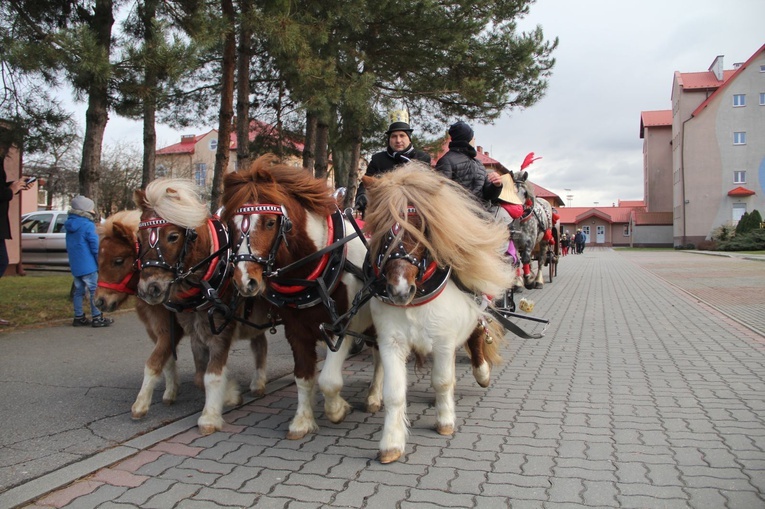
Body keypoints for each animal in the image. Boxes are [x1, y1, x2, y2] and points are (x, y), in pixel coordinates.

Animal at [134, 178, 272, 432]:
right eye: (139, 237)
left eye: (172, 236)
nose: (150, 288)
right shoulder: (195, 332)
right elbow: (200, 376)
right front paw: (229, 395)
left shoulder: (221, 331)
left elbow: (212, 375)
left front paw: (211, 415)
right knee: (260, 345)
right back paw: (258, 383)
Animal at [219, 155, 380, 440]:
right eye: (232, 226)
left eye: (270, 222)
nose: (245, 281)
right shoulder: (296, 330)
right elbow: (303, 377)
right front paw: (302, 422)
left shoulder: (341, 327)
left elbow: (328, 380)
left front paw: (338, 410)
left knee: (382, 358)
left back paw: (374, 396)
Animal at [362, 164, 516, 464]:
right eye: (380, 229)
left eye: (420, 226)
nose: (399, 290)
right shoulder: (391, 342)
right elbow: (394, 392)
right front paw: (391, 443)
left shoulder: (444, 340)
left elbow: (442, 381)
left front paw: (445, 421)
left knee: (477, 336)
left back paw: (481, 373)